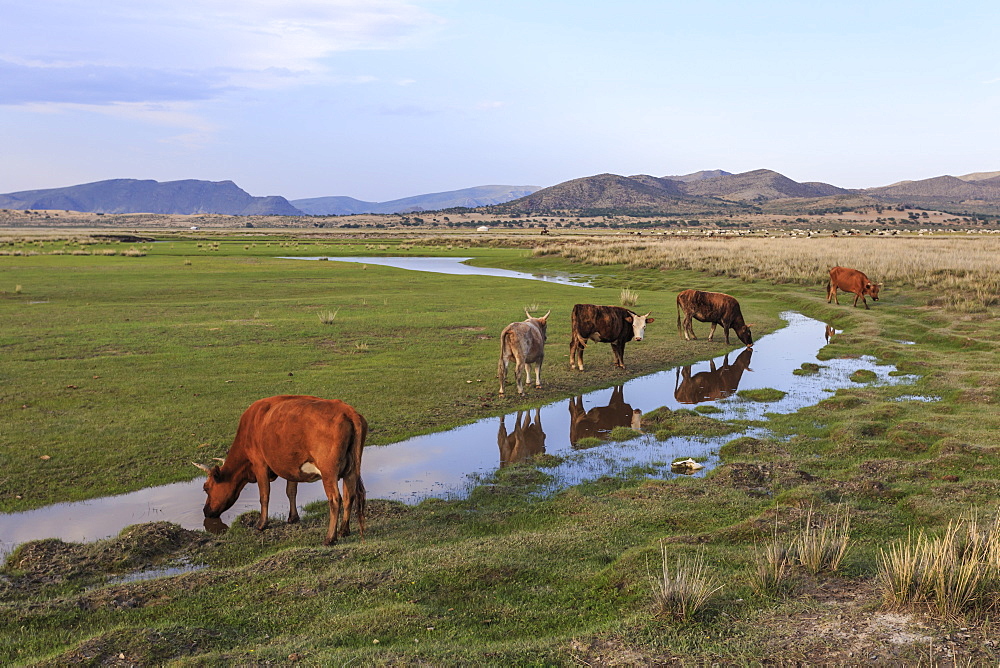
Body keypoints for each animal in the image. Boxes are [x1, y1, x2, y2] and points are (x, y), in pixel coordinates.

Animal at [195, 394, 368, 544]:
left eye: (206, 488)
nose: (205, 511)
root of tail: (347, 410)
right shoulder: (291, 467)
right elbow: (290, 491)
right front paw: (293, 518)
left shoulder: (259, 464)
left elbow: (264, 495)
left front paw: (261, 524)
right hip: (351, 470)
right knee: (349, 495)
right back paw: (343, 531)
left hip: (328, 471)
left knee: (335, 499)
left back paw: (330, 538)